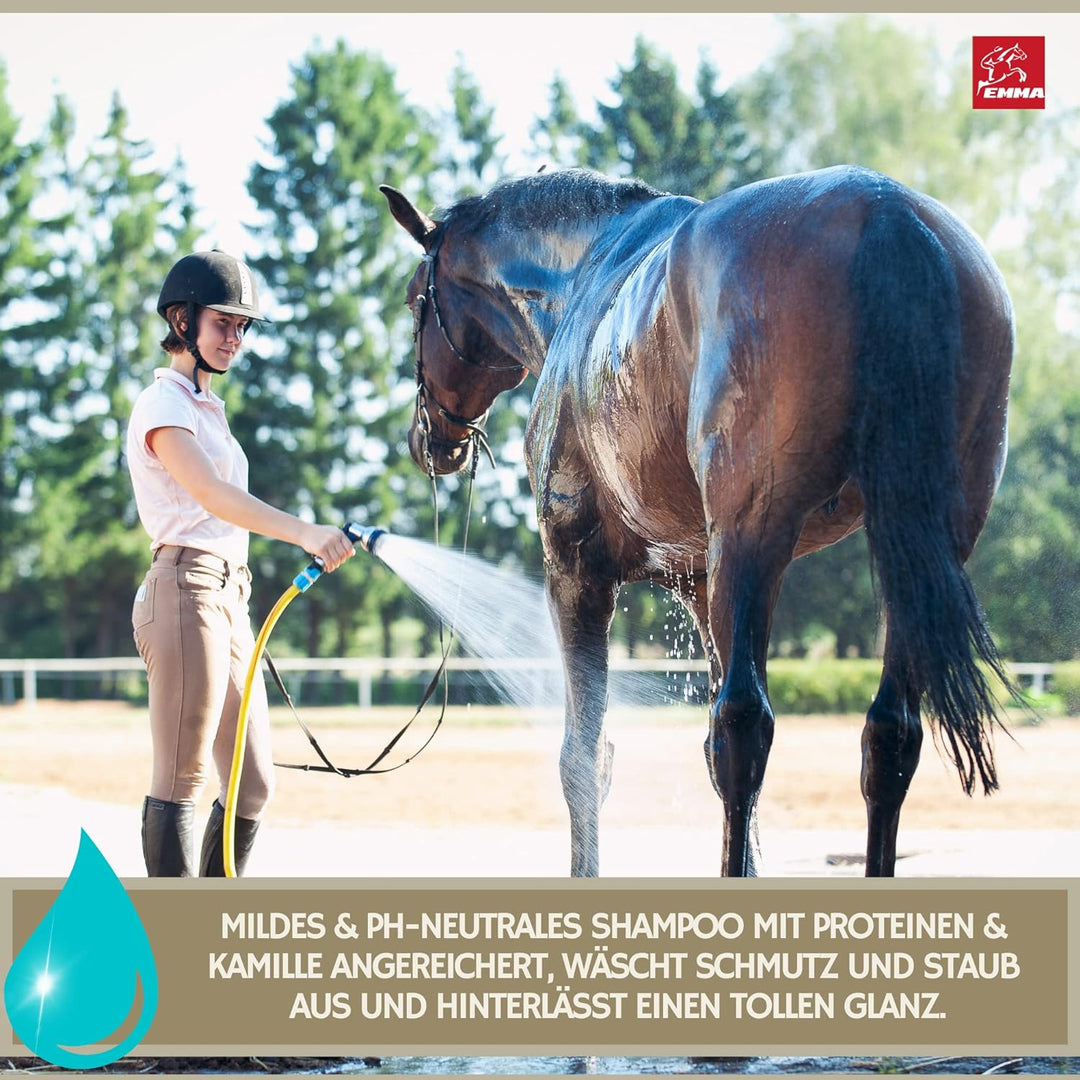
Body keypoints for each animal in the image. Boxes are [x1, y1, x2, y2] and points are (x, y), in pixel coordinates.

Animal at [381, 165, 1015, 877]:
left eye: (413, 300)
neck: (580, 280)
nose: (428, 441)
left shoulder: (575, 569)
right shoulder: (703, 583)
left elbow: (586, 756)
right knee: (888, 735)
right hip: (916, 551)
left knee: (744, 725)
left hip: (754, 534)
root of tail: (886, 207)